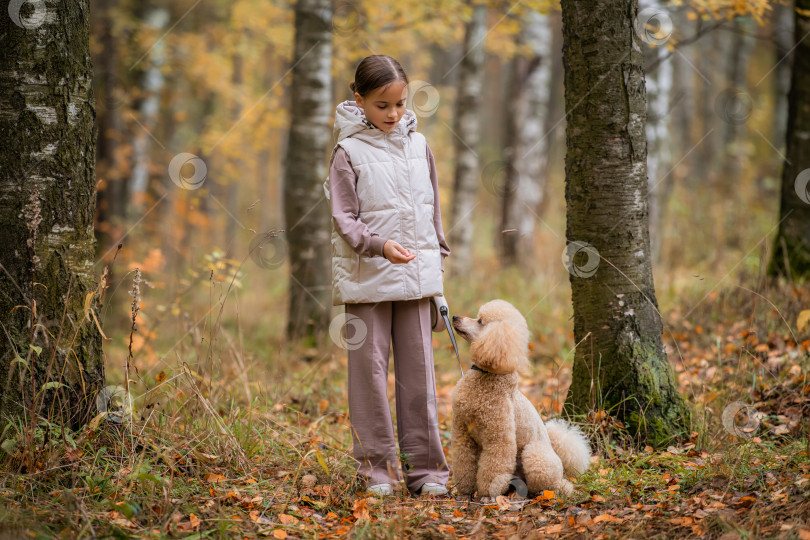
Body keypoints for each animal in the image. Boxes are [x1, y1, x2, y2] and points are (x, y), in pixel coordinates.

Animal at [448, 300, 588, 498]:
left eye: (480, 321)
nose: (454, 317)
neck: (487, 375)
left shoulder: (498, 439)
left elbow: (493, 467)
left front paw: (487, 494)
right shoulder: (462, 432)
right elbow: (463, 463)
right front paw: (465, 492)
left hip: (534, 454)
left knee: (555, 485)